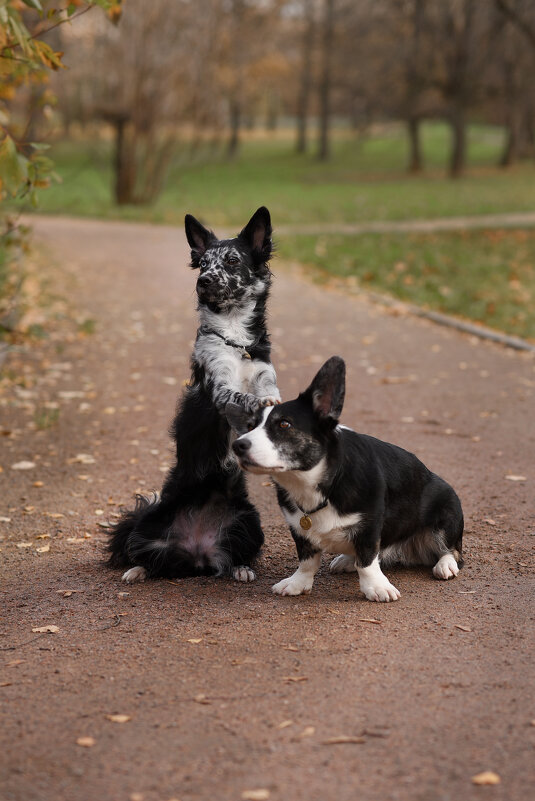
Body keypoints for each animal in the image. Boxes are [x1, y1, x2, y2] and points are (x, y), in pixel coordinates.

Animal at [111, 206, 282, 580]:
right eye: (203, 263)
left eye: (232, 260)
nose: (203, 281)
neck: (236, 339)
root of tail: (197, 554)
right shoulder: (219, 388)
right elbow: (242, 397)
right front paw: (258, 404)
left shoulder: (264, 373)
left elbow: (269, 391)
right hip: (148, 523)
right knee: (143, 553)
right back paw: (138, 571)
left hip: (250, 523)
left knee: (235, 556)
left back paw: (241, 569)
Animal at [228, 356, 462, 600]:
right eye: (250, 426)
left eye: (284, 424)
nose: (238, 446)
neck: (319, 483)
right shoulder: (299, 529)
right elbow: (307, 561)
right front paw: (298, 583)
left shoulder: (369, 526)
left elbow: (367, 561)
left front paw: (376, 588)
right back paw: (347, 560)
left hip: (448, 509)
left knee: (451, 550)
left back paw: (445, 565)